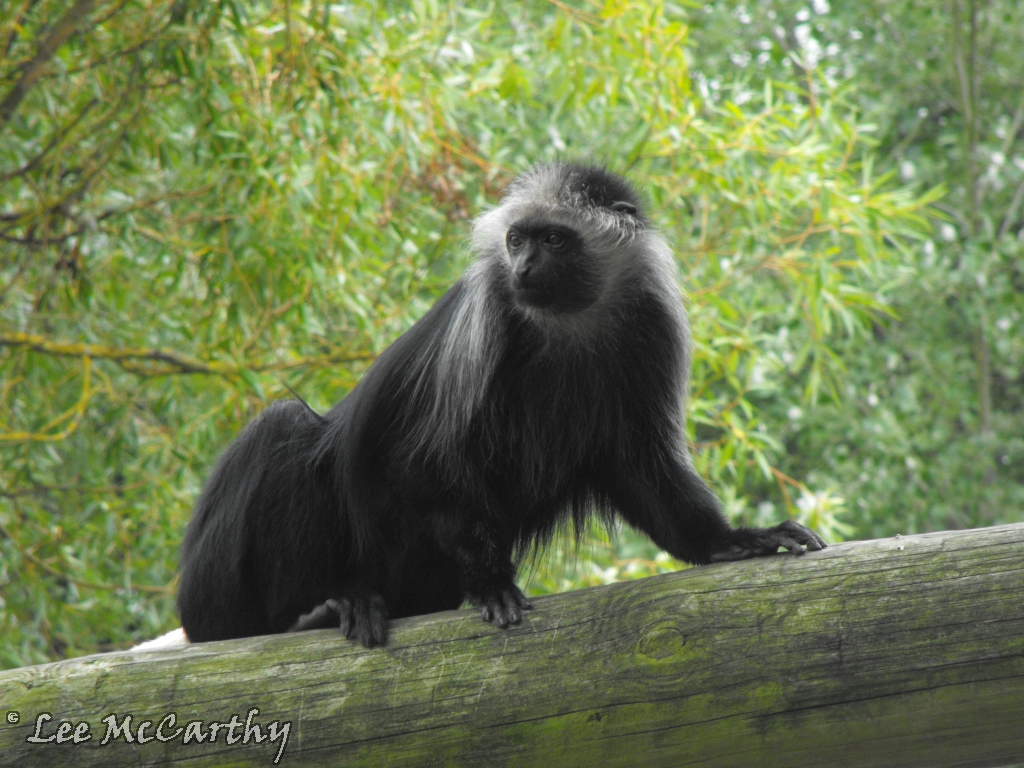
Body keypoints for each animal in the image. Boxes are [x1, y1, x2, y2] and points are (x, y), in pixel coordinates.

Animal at [176, 161, 826, 649]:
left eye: (553, 239)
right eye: (517, 239)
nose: (525, 266)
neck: (569, 320)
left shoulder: (651, 325)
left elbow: (643, 468)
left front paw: (734, 540)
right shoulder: (485, 314)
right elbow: (426, 461)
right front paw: (491, 583)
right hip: (221, 587)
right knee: (284, 430)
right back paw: (317, 608)